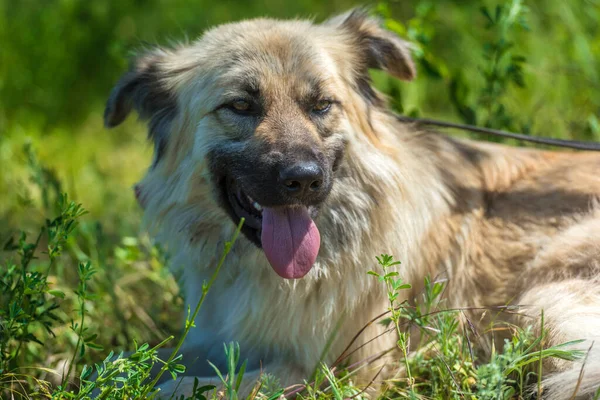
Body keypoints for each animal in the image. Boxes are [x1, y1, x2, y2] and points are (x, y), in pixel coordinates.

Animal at [104, 7, 600, 398]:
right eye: (241, 106)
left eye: (322, 104)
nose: (303, 180)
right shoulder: (213, 338)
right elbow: (131, 360)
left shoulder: (344, 368)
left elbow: (217, 383)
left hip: (540, 302)